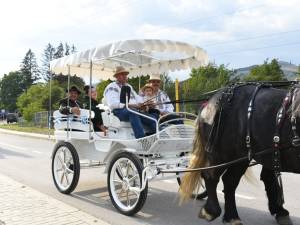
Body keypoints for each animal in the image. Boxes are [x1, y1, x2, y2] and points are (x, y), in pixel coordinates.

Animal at [179, 83, 298, 224]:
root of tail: (214, 99)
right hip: (222, 154)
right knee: (211, 175)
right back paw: (211, 211)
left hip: (242, 156)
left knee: (230, 181)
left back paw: (232, 217)